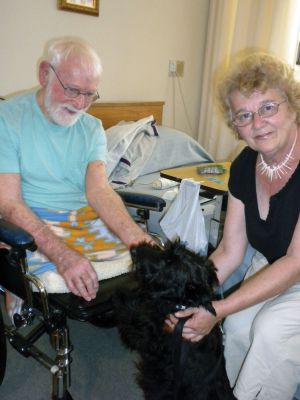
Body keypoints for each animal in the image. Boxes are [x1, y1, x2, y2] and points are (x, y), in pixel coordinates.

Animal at [113, 241, 236, 400]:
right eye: (165, 248)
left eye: (169, 262)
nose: (134, 250)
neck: (181, 305)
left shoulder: (147, 336)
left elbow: (132, 316)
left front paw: (120, 297)